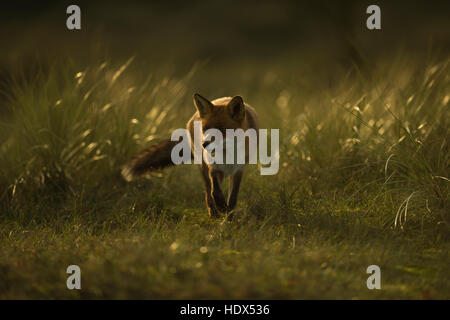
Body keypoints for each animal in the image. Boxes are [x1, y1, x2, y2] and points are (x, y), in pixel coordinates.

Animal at [121, 93, 258, 218]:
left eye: (221, 129)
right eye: (205, 129)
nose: (204, 144)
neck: (226, 154)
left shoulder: (238, 170)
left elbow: (233, 198)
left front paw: (229, 217)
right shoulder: (213, 167)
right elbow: (215, 192)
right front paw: (221, 208)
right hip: (202, 166)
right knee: (208, 191)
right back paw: (213, 212)